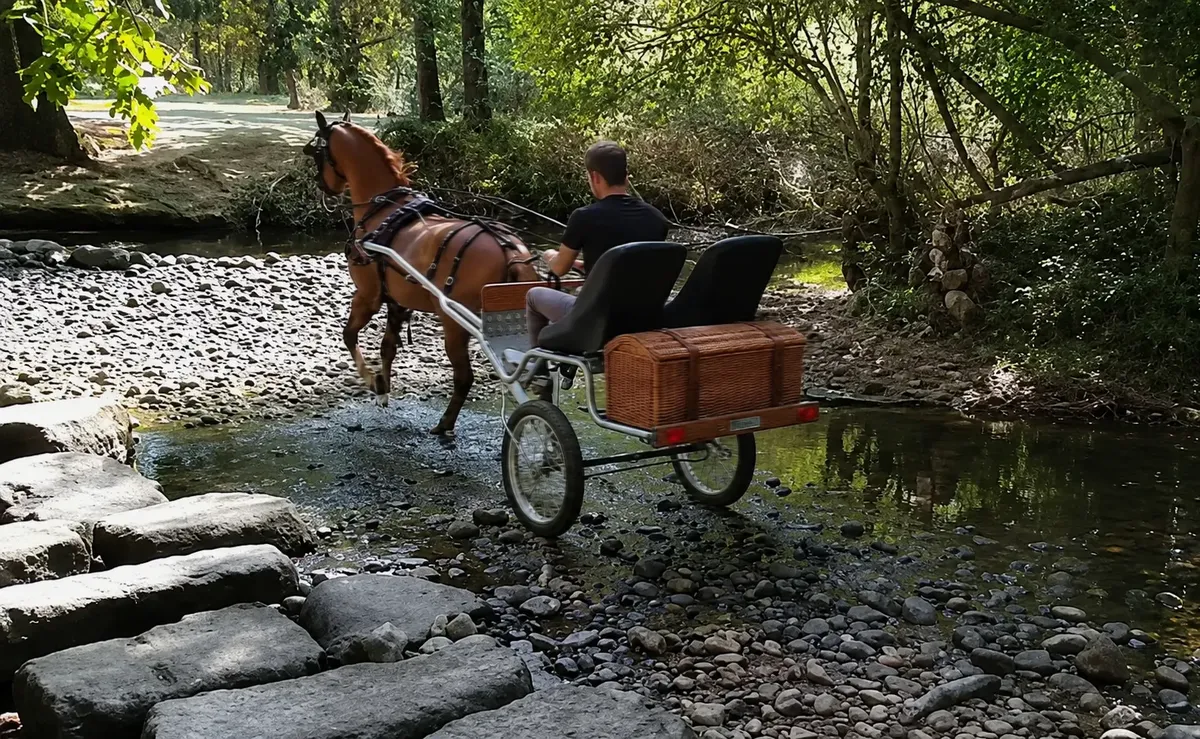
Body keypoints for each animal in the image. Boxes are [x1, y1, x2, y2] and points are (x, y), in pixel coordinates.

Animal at [303, 111, 540, 434]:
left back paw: (445, 424)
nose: (322, 186)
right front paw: (384, 390)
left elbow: (349, 336)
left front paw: (372, 380)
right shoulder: (396, 301)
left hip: (454, 324)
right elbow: (387, 347)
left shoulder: (367, 296)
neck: (384, 210)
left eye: (316, 152)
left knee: (464, 377)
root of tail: (509, 250)